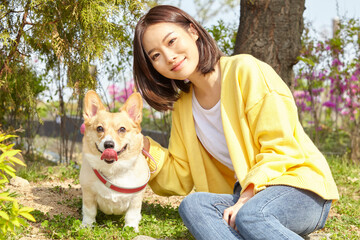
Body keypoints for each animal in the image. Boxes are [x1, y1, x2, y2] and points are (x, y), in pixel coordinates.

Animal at [80, 89, 149, 231]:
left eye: (122, 129)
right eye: (100, 128)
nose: (108, 144)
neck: (113, 171)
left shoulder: (136, 198)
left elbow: (132, 215)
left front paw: (131, 229)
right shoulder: (88, 193)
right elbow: (89, 211)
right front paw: (87, 226)